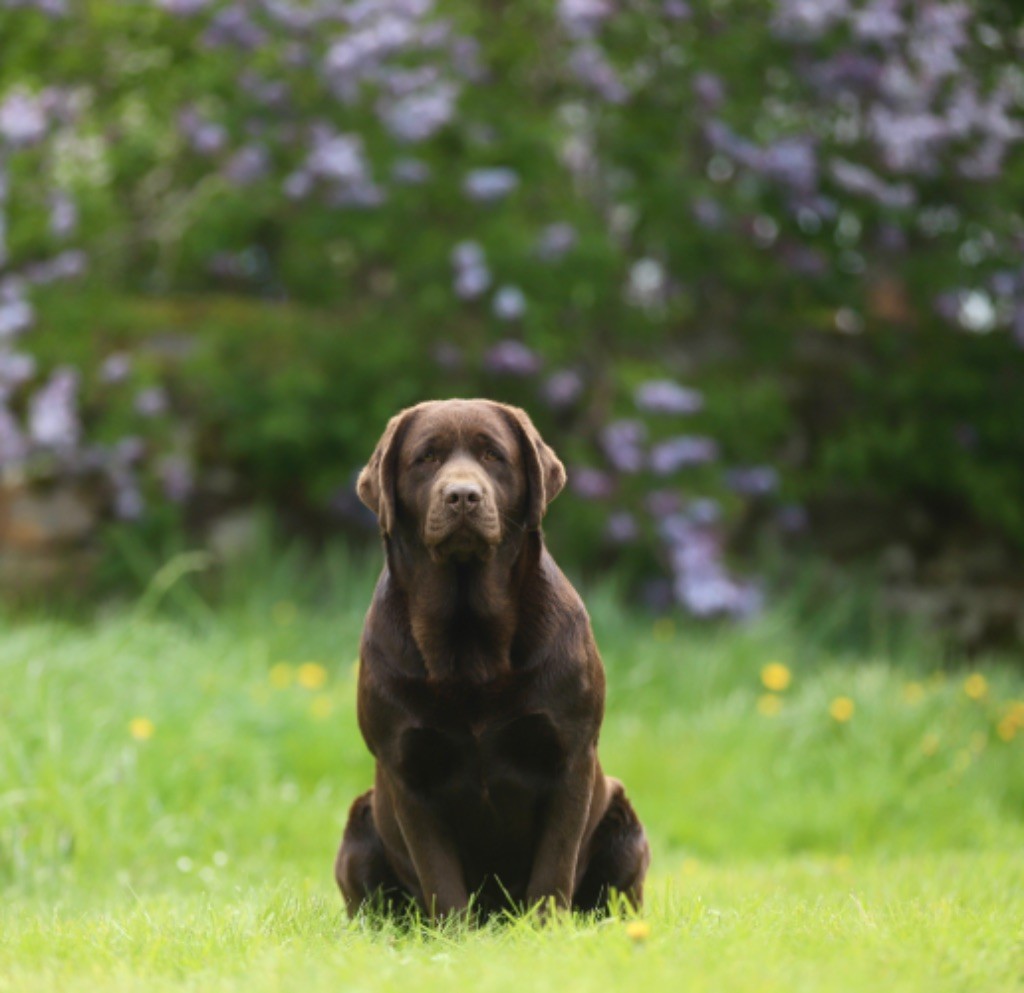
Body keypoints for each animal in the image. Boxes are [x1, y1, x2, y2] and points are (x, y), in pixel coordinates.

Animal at [335, 399, 647, 917]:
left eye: (493, 455)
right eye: (426, 458)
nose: (463, 495)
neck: (470, 644)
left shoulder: (570, 758)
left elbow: (554, 868)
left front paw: (545, 929)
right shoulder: (407, 772)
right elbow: (440, 880)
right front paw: (453, 933)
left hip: (624, 826)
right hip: (360, 825)